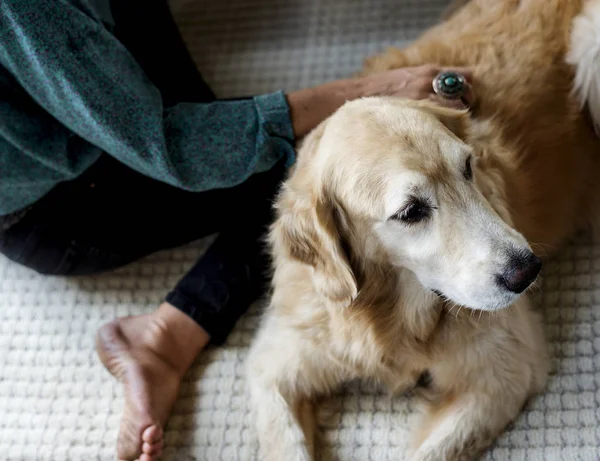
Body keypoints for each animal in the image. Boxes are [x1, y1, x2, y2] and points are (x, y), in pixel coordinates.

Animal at [246, 0, 600, 458]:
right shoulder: (277, 360)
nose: (527, 272)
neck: (389, 311)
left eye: (468, 167)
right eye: (411, 211)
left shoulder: (507, 369)